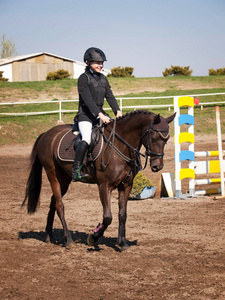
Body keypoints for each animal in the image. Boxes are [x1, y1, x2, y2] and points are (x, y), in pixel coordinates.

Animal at [22, 110, 176, 251]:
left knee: (54, 201)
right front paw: (93, 238)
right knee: (60, 205)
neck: (120, 146)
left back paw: (49, 235)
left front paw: (123, 243)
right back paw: (68, 240)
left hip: (64, 179)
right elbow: (108, 217)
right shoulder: (104, 186)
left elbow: (122, 215)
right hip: (52, 174)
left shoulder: (126, 186)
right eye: (154, 138)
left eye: (166, 139)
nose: (157, 166)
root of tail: (46, 134)